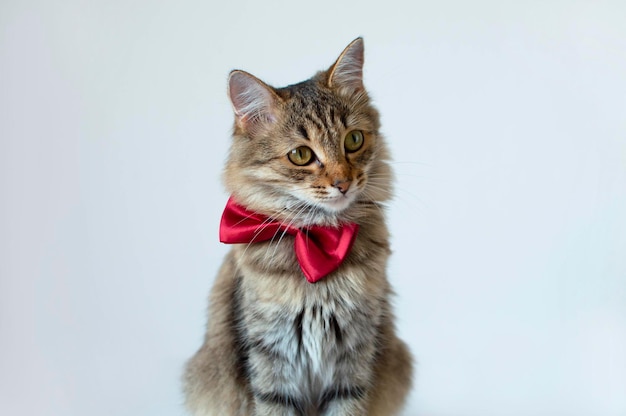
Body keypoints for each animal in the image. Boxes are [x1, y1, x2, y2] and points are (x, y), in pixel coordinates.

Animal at [183, 37, 412, 414]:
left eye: (353, 140)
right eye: (301, 155)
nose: (343, 183)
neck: (317, 241)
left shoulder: (354, 357)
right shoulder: (270, 360)